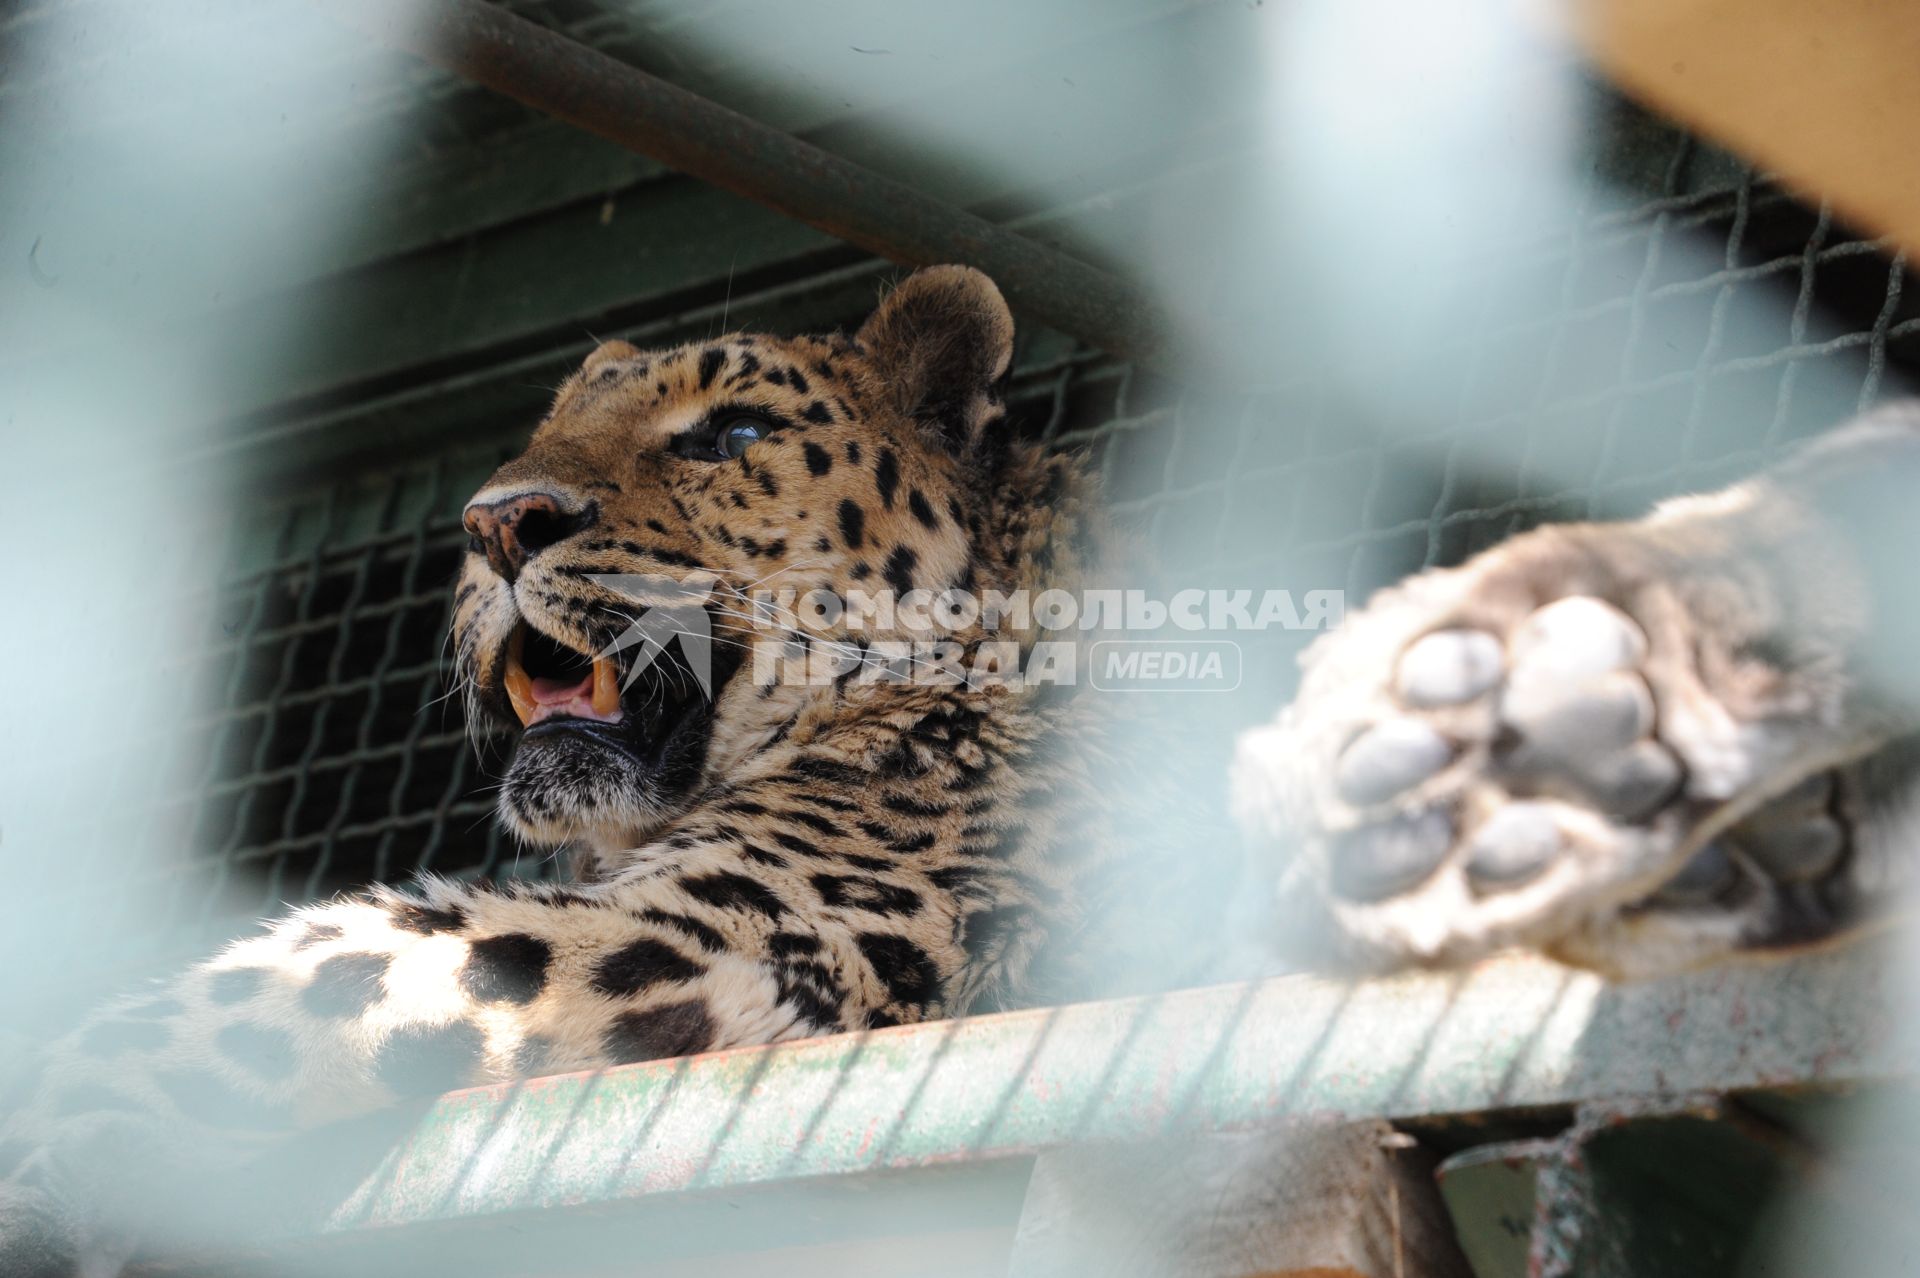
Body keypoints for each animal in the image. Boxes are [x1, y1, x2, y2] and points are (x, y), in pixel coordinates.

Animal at [3, 262, 1920, 1266]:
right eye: (545, 423)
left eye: (732, 430)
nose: (494, 521)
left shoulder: (754, 925)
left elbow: (291, 982)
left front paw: (49, 1141)